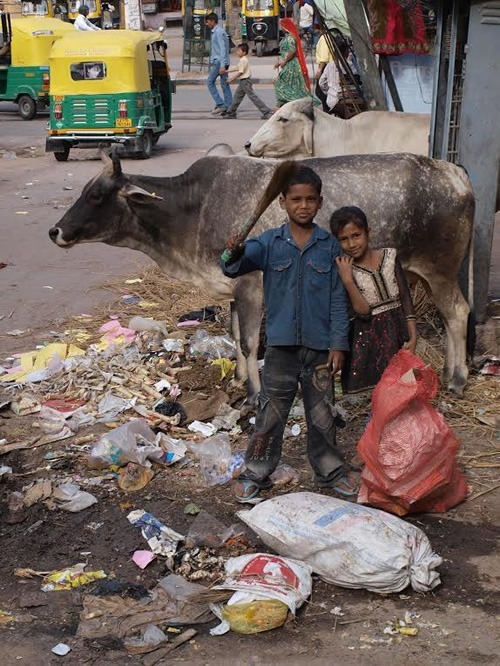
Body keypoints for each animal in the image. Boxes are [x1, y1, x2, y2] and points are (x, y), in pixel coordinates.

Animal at [48, 150, 474, 396]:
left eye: (96, 195)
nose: (56, 232)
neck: (194, 207)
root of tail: (452, 170)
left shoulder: (251, 286)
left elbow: (251, 342)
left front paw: (254, 393)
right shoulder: (233, 288)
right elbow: (236, 338)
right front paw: (239, 380)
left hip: (440, 268)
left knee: (457, 313)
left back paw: (457, 378)